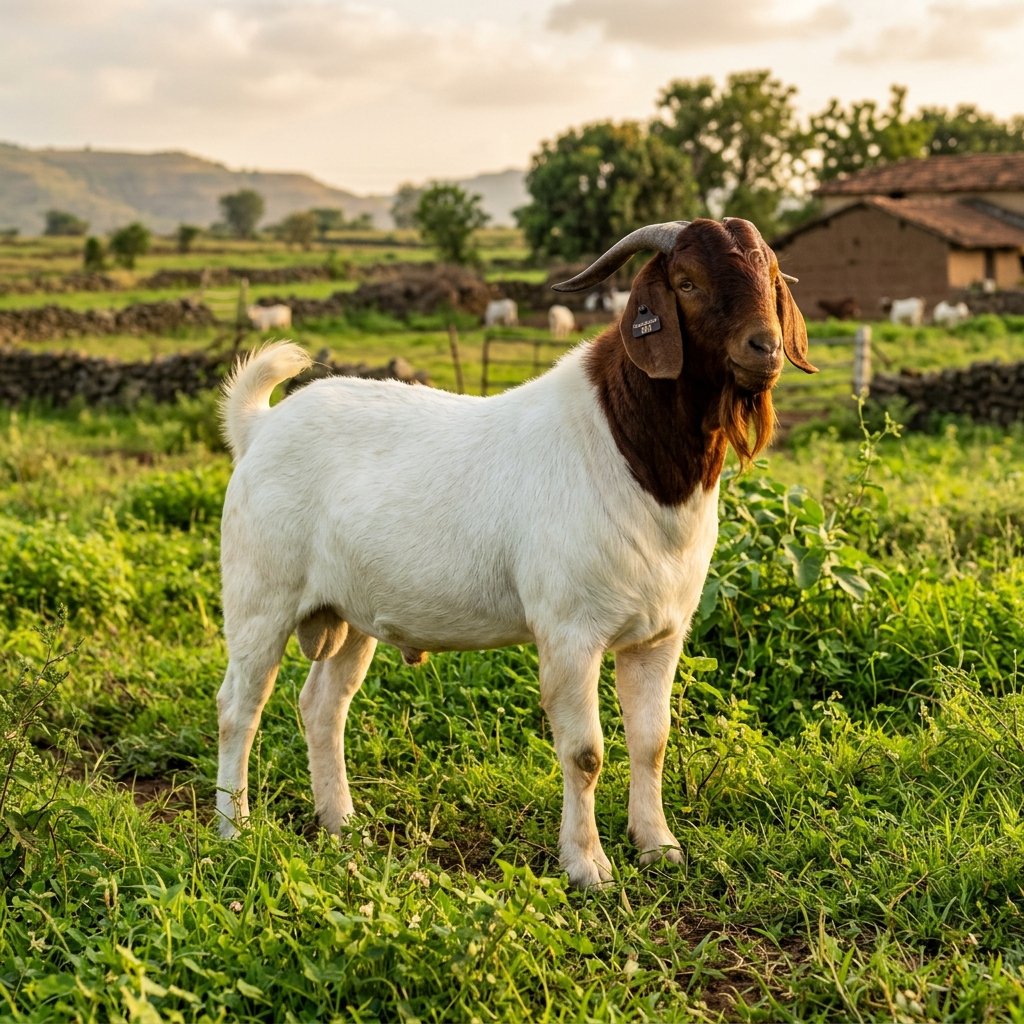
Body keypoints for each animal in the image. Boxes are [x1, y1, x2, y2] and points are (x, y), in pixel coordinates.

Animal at [215, 217, 816, 888]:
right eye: (686, 282)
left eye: (770, 273)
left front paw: (659, 845)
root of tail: (259, 427)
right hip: (260, 597)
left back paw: (342, 825)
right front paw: (587, 865)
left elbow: (651, 741)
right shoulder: (570, 632)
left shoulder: (660, 635)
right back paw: (234, 829)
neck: (628, 452)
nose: (764, 349)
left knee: (322, 706)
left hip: (351, 615)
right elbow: (585, 753)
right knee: (239, 707)